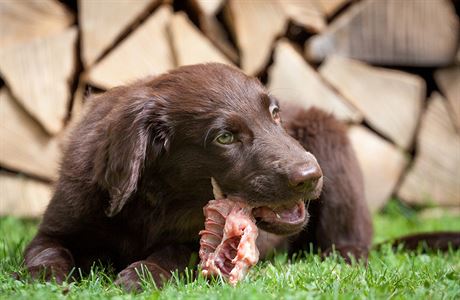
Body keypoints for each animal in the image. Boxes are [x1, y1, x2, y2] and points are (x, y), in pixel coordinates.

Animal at [23, 62, 372, 288]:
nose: (310, 176)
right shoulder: (59, 224)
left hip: (328, 137)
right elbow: (45, 250)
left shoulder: (194, 243)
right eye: (224, 138)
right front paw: (46, 277)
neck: (156, 201)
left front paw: (142, 274)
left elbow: (176, 252)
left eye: (275, 114)